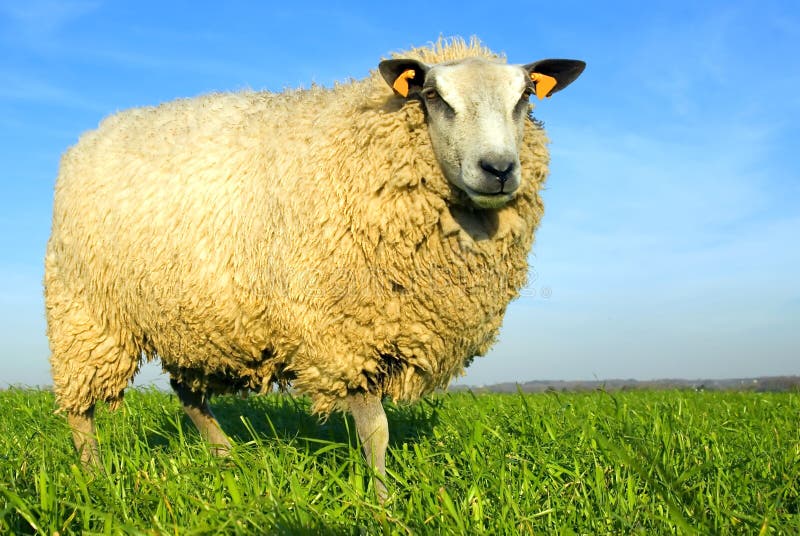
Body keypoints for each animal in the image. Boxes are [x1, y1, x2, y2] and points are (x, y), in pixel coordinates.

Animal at [47, 37, 584, 498]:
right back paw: (94, 475)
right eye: (433, 96)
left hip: (191, 319)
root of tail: (90, 137)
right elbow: (376, 429)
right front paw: (383, 502)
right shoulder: (343, 334)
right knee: (80, 409)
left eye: (525, 97)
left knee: (188, 394)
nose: (498, 169)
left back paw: (227, 460)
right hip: (87, 314)